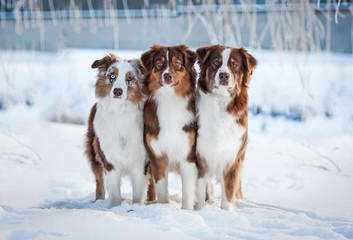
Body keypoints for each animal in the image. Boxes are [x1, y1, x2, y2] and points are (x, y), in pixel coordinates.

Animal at [85, 53, 154, 207]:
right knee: (99, 182)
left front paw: (137, 207)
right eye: (112, 76)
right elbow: (114, 193)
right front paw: (114, 207)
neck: (120, 112)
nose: (117, 91)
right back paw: (98, 201)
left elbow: (138, 194)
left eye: (130, 78)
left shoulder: (141, 164)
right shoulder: (109, 161)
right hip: (95, 155)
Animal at [140, 44, 201, 209]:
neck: (169, 98)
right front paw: (163, 206)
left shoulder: (188, 156)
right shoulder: (158, 157)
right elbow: (161, 189)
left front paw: (187, 210)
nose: (167, 76)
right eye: (159, 64)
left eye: (177, 63)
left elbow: (188, 191)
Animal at [194, 44, 258, 210]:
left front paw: (226, 212)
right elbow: (200, 191)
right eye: (216, 63)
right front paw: (200, 210)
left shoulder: (233, 159)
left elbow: (228, 193)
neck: (221, 102)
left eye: (234, 65)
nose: (224, 75)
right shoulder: (200, 158)